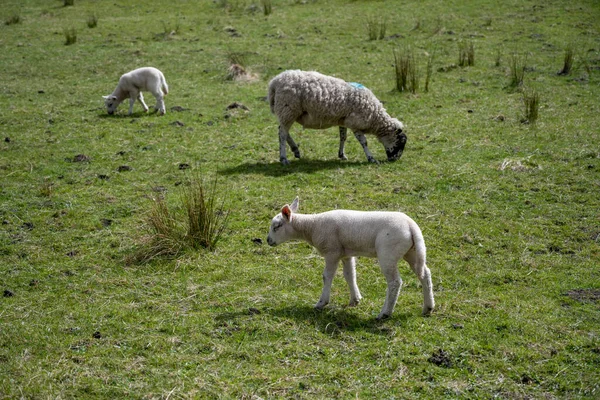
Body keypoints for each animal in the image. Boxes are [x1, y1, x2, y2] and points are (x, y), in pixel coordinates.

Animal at [266, 197, 432, 318]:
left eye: (277, 226)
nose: (268, 241)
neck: (312, 226)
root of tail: (412, 226)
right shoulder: (346, 253)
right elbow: (350, 275)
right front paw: (355, 300)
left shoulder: (332, 251)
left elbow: (327, 276)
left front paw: (321, 303)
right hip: (413, 252)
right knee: (425, 274)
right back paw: (428, 308)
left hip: (388, 253)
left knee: (394, 282)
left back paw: (384, 313)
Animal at [268, 70, 406, 166]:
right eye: (401, 141)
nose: (394, 160)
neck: (375, 118)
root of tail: (274, 82)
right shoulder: (356, 123)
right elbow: (364, 142)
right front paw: (371, 158)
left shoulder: (343, 120)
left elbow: (343, 137)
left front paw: (342, 155)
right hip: (288, 109)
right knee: (282, 134)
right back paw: (284, 158)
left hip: (288, 112)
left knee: (282, 130)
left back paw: (295, 150)